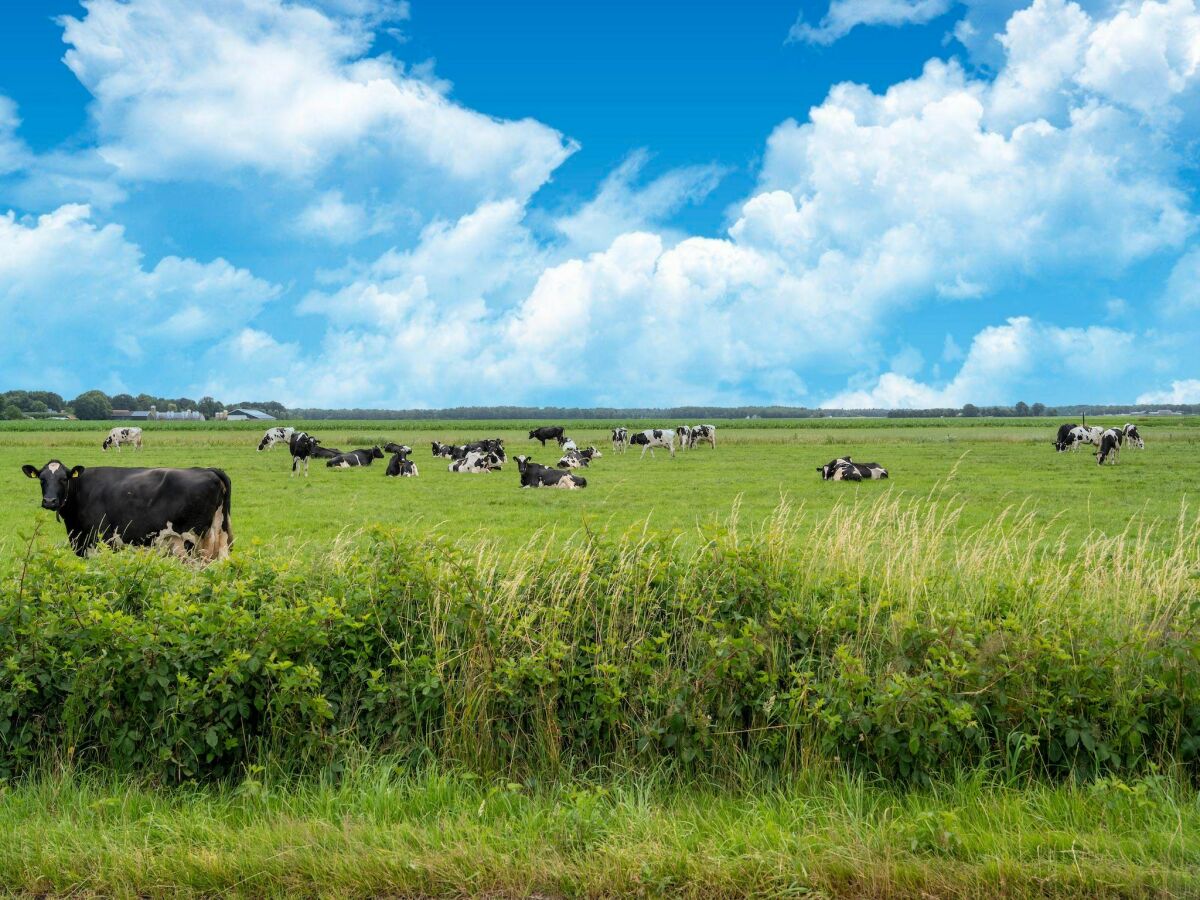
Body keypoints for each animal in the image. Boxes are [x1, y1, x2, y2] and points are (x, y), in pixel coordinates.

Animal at [20, 460, 231, 561]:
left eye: (64, 479)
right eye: (42, 479)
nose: (50, 501)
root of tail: (207, 470)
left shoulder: (99, 542)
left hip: (195, 540)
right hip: (220, 538)